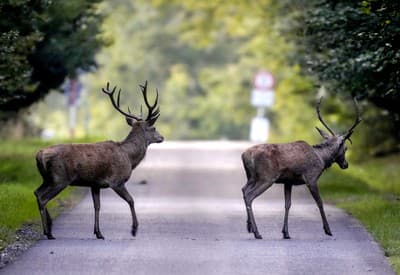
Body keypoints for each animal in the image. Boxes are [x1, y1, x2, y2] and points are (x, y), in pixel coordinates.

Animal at [34, 81, 162, 240]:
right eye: (154, 127)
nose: (162, 137)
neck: (129, 157)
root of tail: (39, 154)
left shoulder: (95, 184)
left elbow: (97, 206)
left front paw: (98, 233)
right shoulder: (116, 181)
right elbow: (131, 200)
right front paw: (134, 229)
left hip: (48, 178)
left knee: (37, 192)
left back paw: (49, 228)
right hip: (60, 178)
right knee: (43, 198)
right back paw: (48, 232)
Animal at [242, 98, 360, 240]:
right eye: (345, 148)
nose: (345, 164)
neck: (322, 159)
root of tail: (245, 155)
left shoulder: (288, 182)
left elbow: (287, 205)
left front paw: (286, 233)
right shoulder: (311, 178)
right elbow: (319, 202)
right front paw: (328, 230)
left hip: (251, 177)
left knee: (244, 190)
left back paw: (249, 227)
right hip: (267, 178)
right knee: (250, 195)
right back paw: (257, 232)